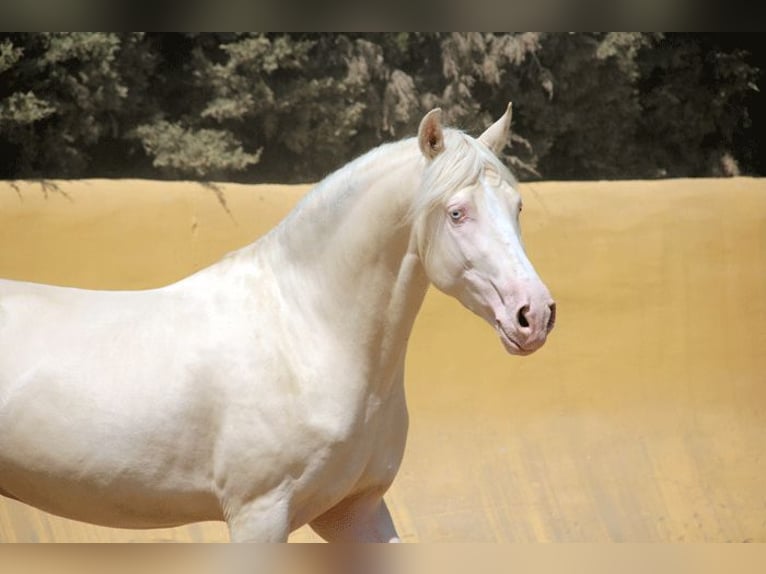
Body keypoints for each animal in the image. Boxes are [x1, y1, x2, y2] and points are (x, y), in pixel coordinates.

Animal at [0, 104, 552, 544]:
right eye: (457, 213)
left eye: (518, 206)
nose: (534, 314)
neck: (306, 334)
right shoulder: (258, 515)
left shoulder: (357, 512)